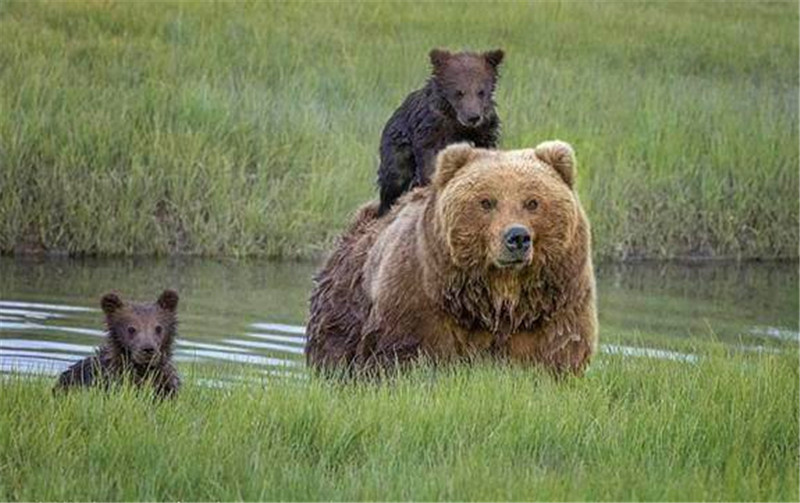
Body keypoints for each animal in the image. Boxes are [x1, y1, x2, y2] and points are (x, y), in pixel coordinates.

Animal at [310, 141, 596, 374]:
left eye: (532, 202)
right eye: (487, 202)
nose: (517, 237)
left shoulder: (552, 304)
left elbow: (555, 352)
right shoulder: (420, 296)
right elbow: (407, 352)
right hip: (342, 310)